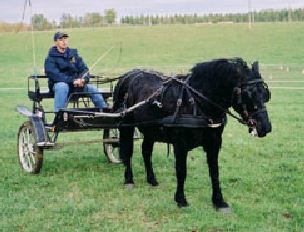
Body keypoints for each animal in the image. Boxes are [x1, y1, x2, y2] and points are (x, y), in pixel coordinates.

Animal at [113, 58, 272, 210]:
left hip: (151, 129)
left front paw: (218, 201)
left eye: (265, 94)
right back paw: (129, 180)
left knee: (146, 151)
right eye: (248, 94)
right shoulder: (180, 145)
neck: (197, 103)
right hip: (127, 126)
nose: (266, 127)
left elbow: (214, 171)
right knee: (127, 151)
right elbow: (181, 171)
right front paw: (181, 200)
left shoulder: (214, 143)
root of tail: (127, 75)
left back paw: (152, 180)